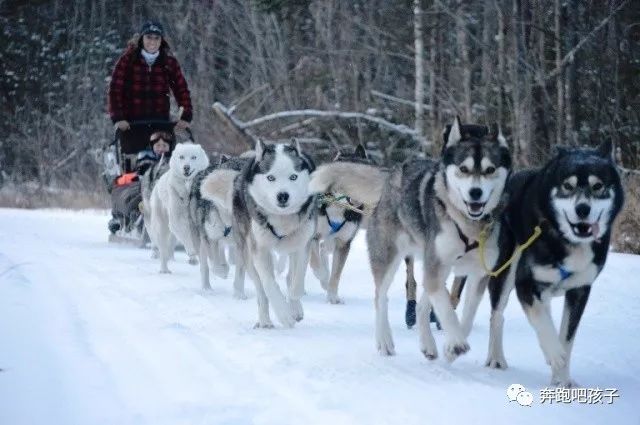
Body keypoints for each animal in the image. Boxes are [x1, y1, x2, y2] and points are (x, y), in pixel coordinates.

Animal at [146, 142, 209, 274]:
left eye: (193, 157)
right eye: (181, 157)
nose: (186, 167)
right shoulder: (177, 220)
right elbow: (186, 237)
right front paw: (192, 252)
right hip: (162, 227)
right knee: (163, 250)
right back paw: (164, 269)